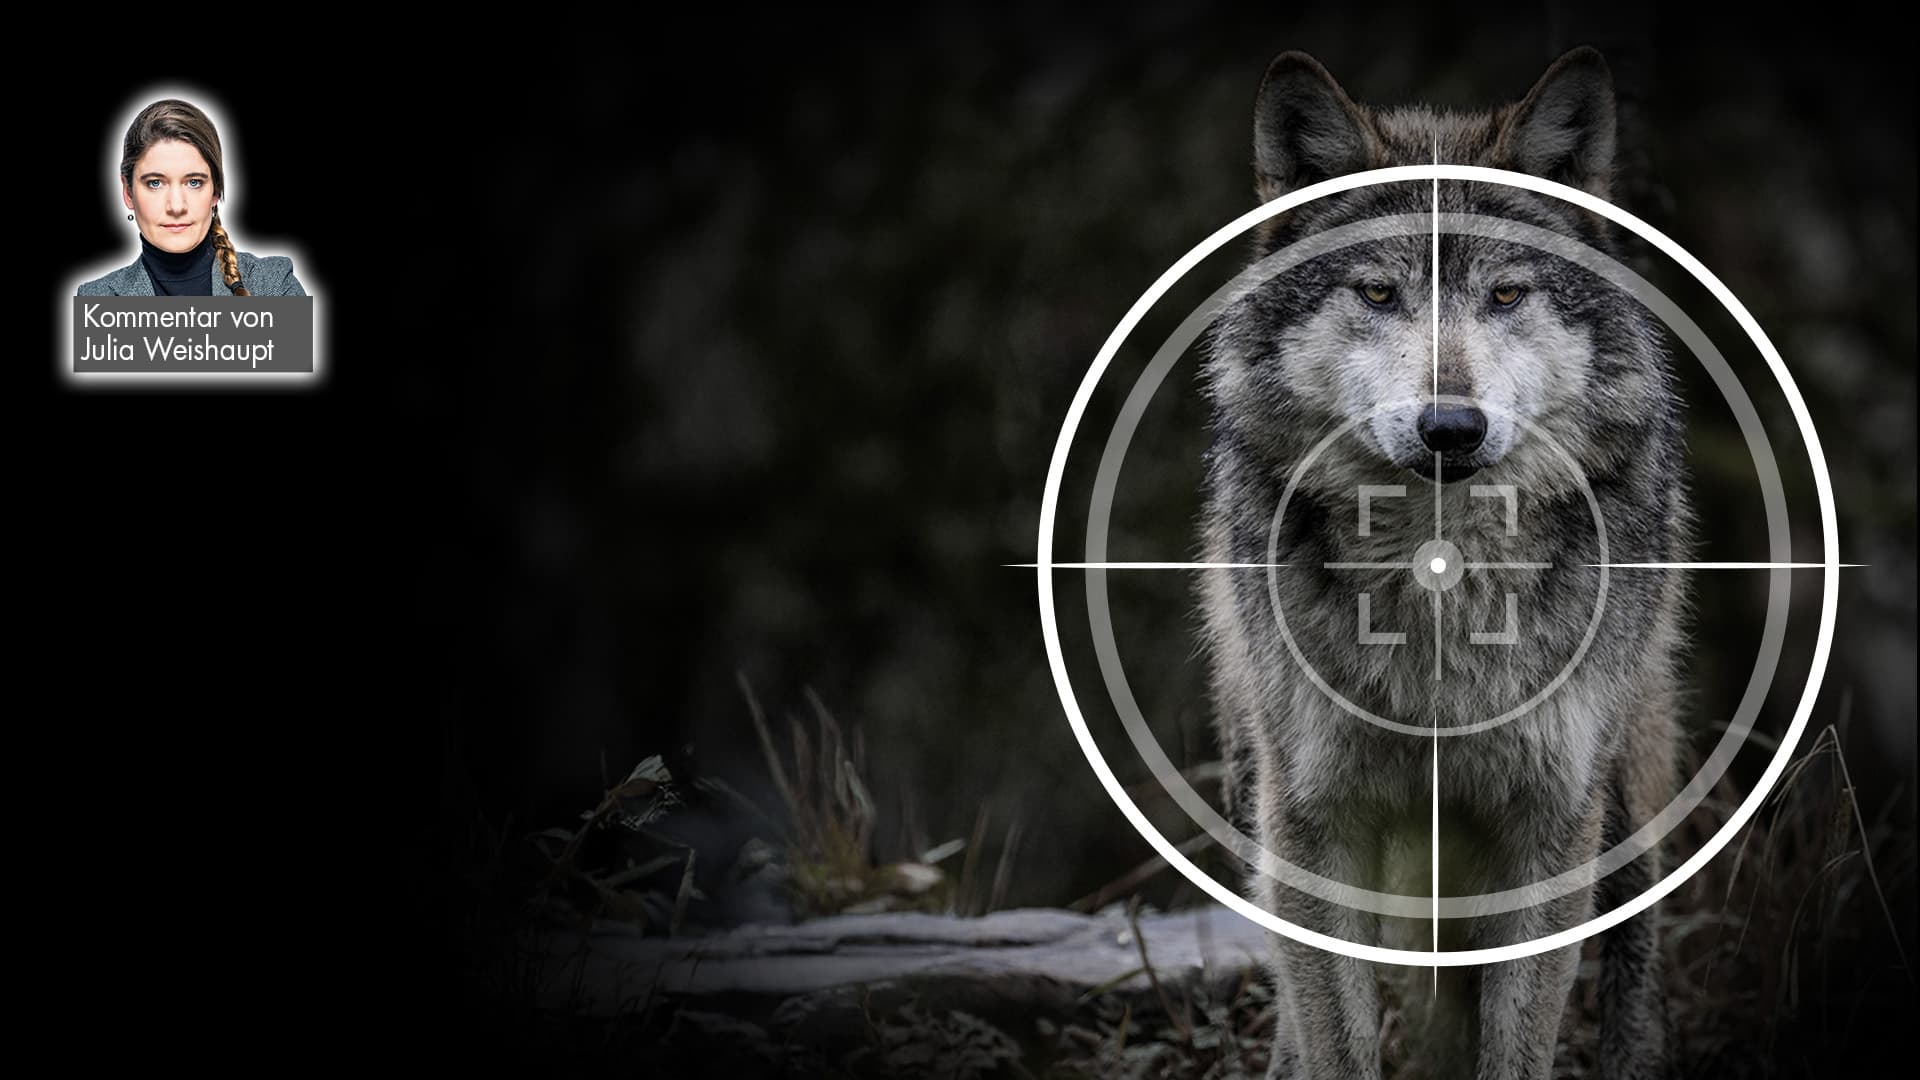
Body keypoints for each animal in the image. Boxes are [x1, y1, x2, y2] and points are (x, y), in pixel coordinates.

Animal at [1198, 47, 1689, 1080]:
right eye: (1380, 293)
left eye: (1504, 295)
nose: (1450, 427)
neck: (1438, 577)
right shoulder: (1314, 821)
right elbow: (1337, 1035)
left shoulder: (1551, 821)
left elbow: (1519, 1041)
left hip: (1626, 789)